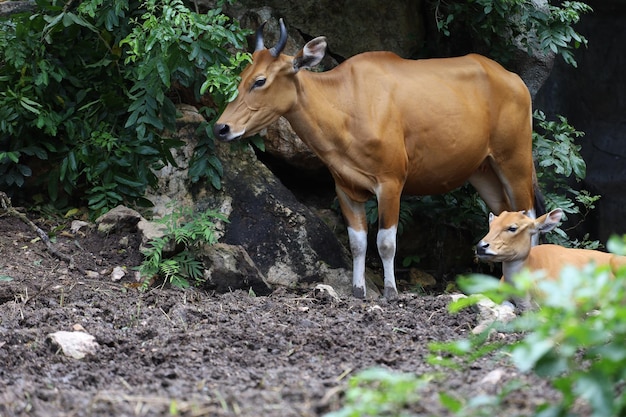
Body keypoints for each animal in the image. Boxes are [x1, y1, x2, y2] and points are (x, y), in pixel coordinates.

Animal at [212, 19, 540, 298]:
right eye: (242, 77)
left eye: (260, 81)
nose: (221, 127)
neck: (345, 105)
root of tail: (515, 80)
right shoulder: (345, 187)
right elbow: (357, 242)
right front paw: (358, 290)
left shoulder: (391, 182)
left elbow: (385, 242)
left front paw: (390, 291)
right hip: (483, 170)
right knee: (503, 213)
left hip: (515, 160)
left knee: (529, 215)